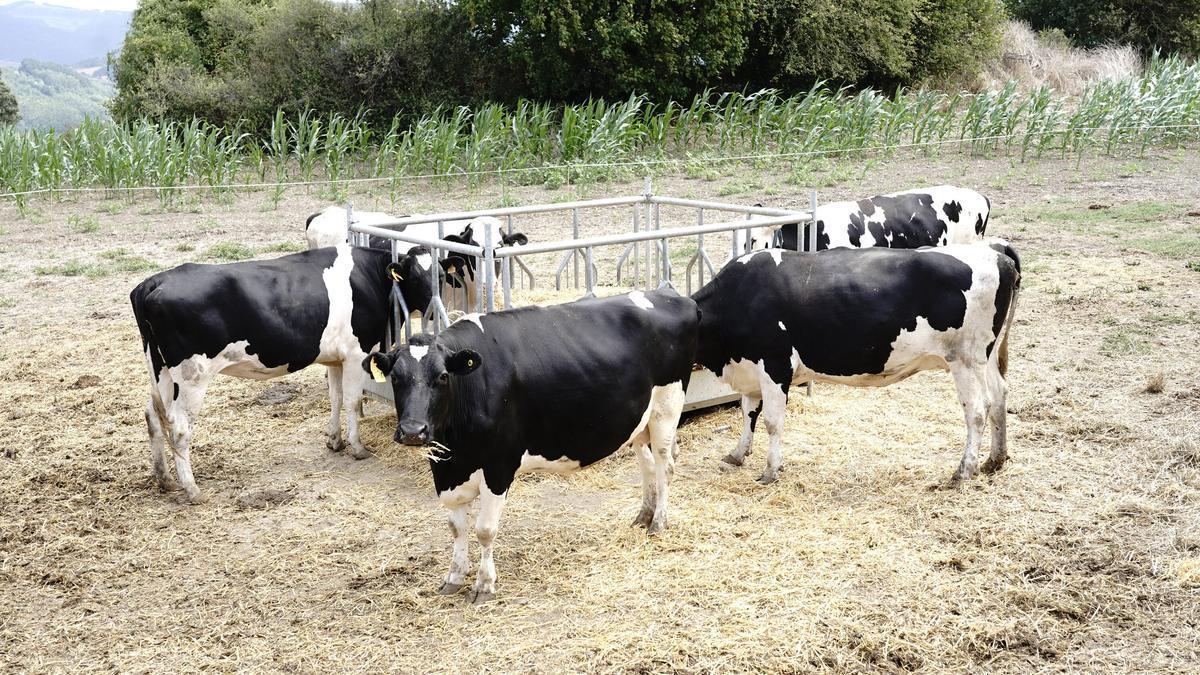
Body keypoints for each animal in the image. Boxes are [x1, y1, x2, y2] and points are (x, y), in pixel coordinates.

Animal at [130, 244, 456, 504]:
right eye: (414, 276)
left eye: (439, 276)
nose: (433, 311)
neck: (369, 275)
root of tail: (153, 281)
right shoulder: (356, 354)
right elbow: (352, 401)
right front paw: (358, 446)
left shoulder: (335, 359)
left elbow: (335, 398)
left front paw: (334, 440)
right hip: (191, 376)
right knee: (179, 428)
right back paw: (192, 489)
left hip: (159, 371)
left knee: (153, 415)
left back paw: (164, 479)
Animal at [363, 289, 699, 603]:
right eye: (395, 377)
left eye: (443, 376)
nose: (413, 431)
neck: (455, 454)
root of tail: (674, 296)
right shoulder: (449, 474)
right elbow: (456, 528)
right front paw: (454, 577)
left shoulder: (498, 467)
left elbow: (484, 530)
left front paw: (484, 585)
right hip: (640, 420)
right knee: (647, 465)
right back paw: (643, 516)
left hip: (667, 406)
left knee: (665, 465)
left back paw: (658, 522)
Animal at [692, 240, 1020, 486]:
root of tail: (996, 251)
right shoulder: (750, 369)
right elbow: (748, 413)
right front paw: (737, 454)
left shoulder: (775, 365)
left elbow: (772, 421)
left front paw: (771, 470)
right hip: (986, 357)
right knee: (1000, 395)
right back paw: (995, 460)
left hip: (965, 359)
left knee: (977, 410)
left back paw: (963, 471)